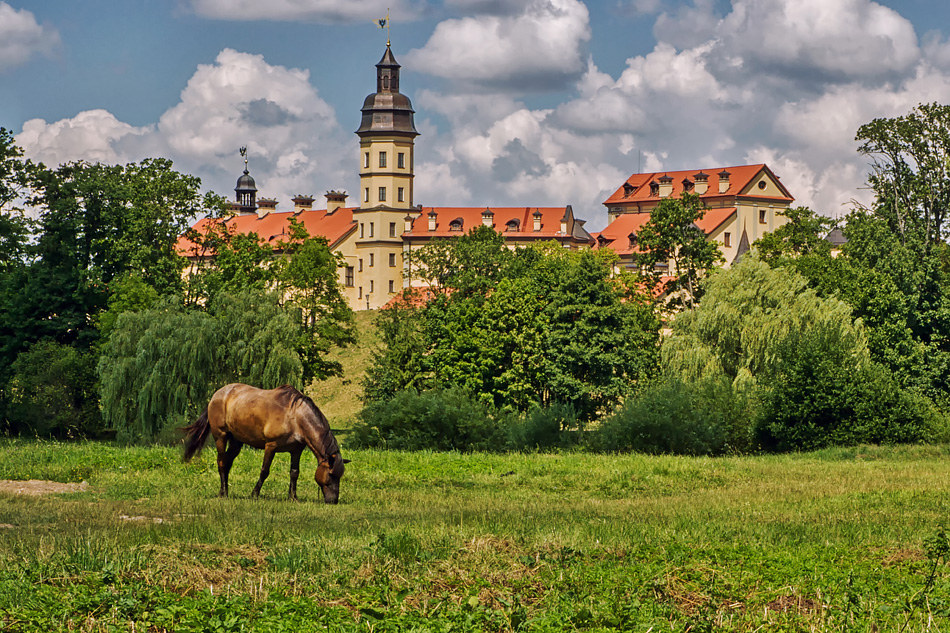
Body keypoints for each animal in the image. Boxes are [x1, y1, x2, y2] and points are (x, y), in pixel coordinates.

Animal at [180, 380, 348, 504]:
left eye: (340, 476)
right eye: (331, 475)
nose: (333, 500)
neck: (294, 417)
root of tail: (216, 395)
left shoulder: (296, 450)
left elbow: (294, 473)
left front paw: (293, 497)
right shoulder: (271, 446)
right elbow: (264, 471)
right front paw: (254, 494)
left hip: (236, 442)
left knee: (227, 462)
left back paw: (226, 490)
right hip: (220, 436)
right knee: (221, 462)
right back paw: (223, 493)